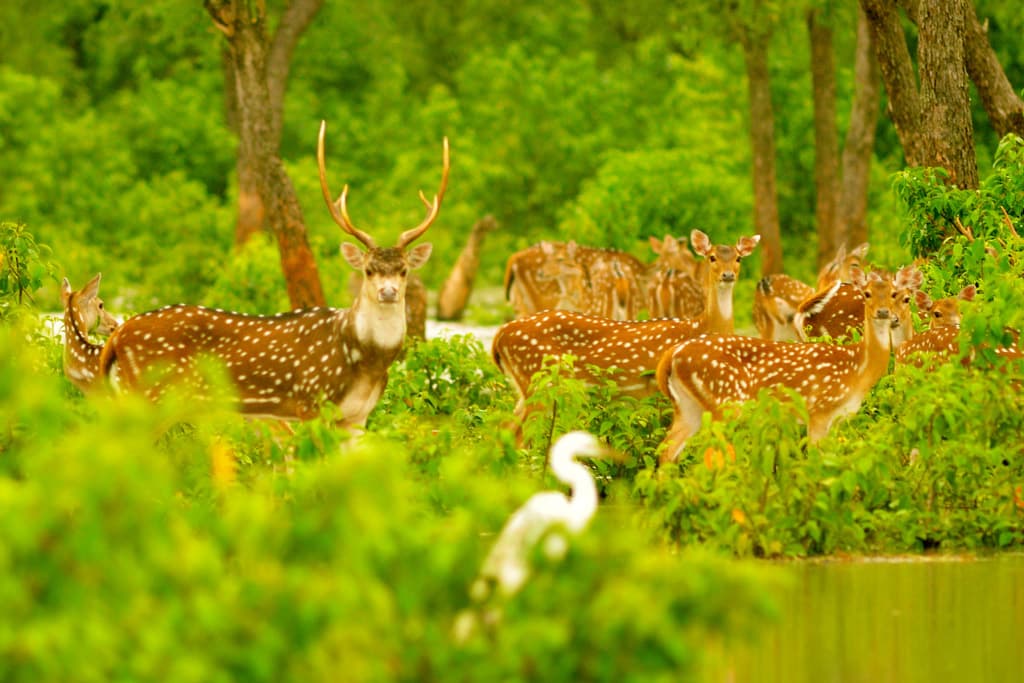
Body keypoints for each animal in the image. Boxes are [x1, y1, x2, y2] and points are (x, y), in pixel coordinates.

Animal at [98, 120, 448, 423]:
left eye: (403, 271)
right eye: (369, 271)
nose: (388, 291)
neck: (366, 361)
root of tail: (115, 338)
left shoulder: (357, 417)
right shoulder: (310, 402)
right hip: (152, 392)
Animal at [491, 229, 757, 432]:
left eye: (738, 258)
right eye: (711, 257)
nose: (728, 275)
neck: (702, 325)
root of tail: (498, 338)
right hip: (540, 382)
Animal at [655, 266, 905, 464]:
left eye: (894, 294)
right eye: (867, 294)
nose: (884, 312)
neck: (858, 368)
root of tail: (671, 356)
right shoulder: (819, 410)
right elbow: (815, 459)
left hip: (688, 406)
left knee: (668, 450)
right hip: (725, 400)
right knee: (711, 451)